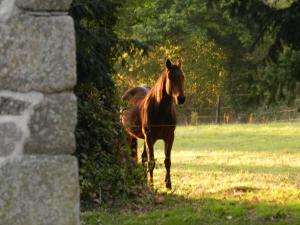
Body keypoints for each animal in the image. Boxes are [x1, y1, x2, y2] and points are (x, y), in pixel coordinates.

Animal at [120, 58, 184, 188]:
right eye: (170, 77)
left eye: (183, 77)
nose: (181, 98)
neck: (160, 111)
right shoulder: (149, 138)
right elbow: (151, 162)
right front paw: (152, 183)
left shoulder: (169, 137)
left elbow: (167, 161)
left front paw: (168, 184)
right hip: (128, 134)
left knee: (143, 157)